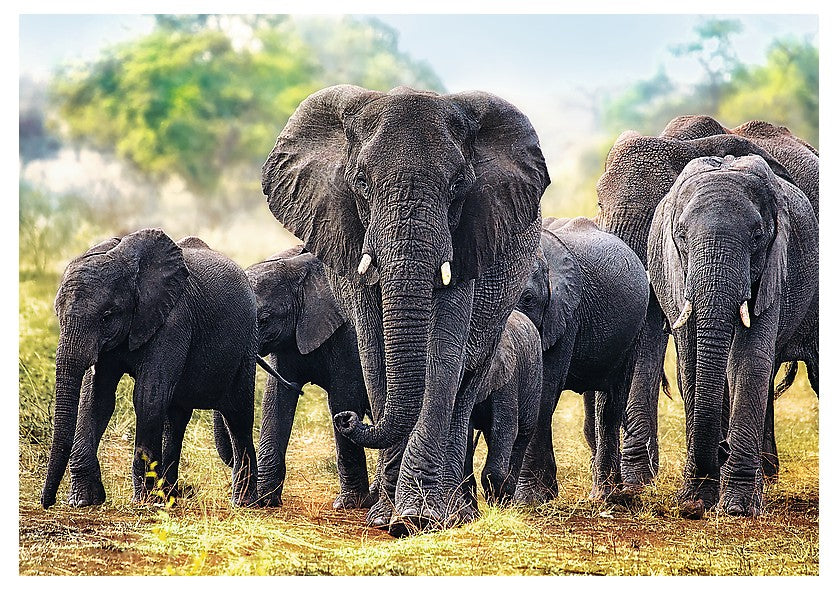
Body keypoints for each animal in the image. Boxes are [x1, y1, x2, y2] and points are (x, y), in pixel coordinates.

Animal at [40, 230, 259, 508]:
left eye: (107, 316)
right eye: (57, 314)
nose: (47, 502)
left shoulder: (174, 320)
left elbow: (148, 396)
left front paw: (142, 501)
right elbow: (97, 398)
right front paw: (84, 501)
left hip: (247, 345)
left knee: (238, 415)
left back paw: (245, 502)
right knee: (176, 418)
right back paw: (170, 496)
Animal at [242, 245, 376, 509]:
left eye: (264, 319)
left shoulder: (349, 335)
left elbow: (343, 400)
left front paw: (349, 505)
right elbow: (276, 399)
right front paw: (264, 500)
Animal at [465, 310, 542, 506]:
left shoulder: (508, 377)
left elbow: (505, 427)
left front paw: (496, 502)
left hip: (534, 378)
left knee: (523, 433)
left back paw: (507, 498)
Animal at [512, 217, 648, 503]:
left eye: (528, 299)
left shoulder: (565, 316)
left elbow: (543, 394)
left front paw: (528, 500)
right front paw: (543, 496)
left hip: (633, 334)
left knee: (609, 408)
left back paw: (603, 497)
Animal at [648, 154, 818, 517]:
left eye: (757, 236)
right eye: (681, 236)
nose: (722, 448)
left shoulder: (774, 270)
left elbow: (747, 362)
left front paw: (737, 508)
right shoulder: (675, 276)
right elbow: (691, 366)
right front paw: (695, 501)